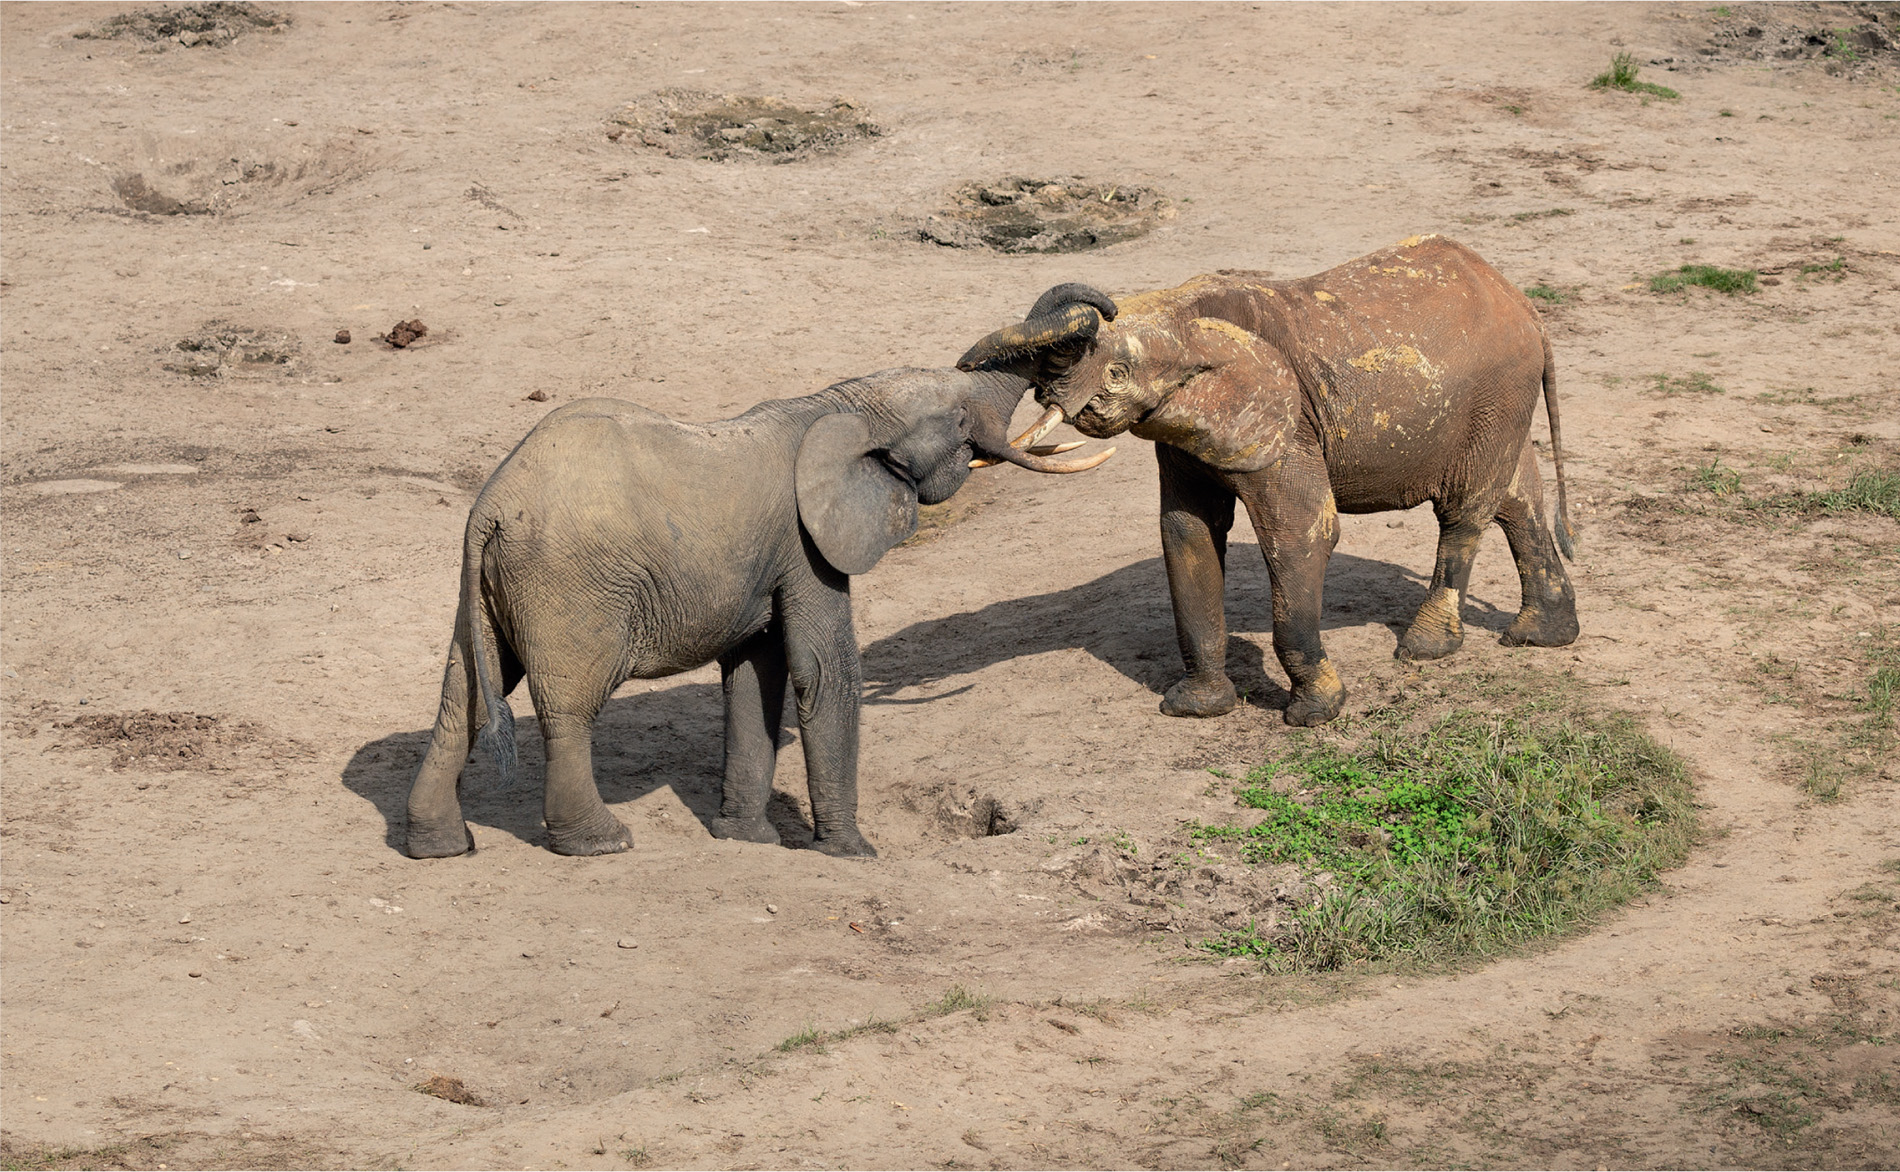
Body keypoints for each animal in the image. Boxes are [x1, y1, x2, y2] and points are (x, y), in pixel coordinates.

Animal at [404, 364, 1109, 858]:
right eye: (961, 421)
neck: (844, 403)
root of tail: (490, 506)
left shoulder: (768, 558)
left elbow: (755, 674)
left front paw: (747, 839)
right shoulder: (808, 545)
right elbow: (822, 670)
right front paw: (854, 854)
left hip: (491, 587)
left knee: (464, 700)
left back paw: (441, 847)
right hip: (570, 585)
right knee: (568, 707)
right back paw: (602, 843)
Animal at [957, 234, 1580, 725]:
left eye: (1116, 371)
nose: (1044, 391)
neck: (1181, 318)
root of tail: (1522, 301)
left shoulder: (1284, 423)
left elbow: (1301, 532)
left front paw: (1315, 714)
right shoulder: (1184, 431)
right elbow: (1186, 533)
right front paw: (1194, 710)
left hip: (1497, 390)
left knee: (1465, 509)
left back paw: (1425, 649)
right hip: (1501, 398)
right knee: (1517, 499)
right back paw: (1540, 636)